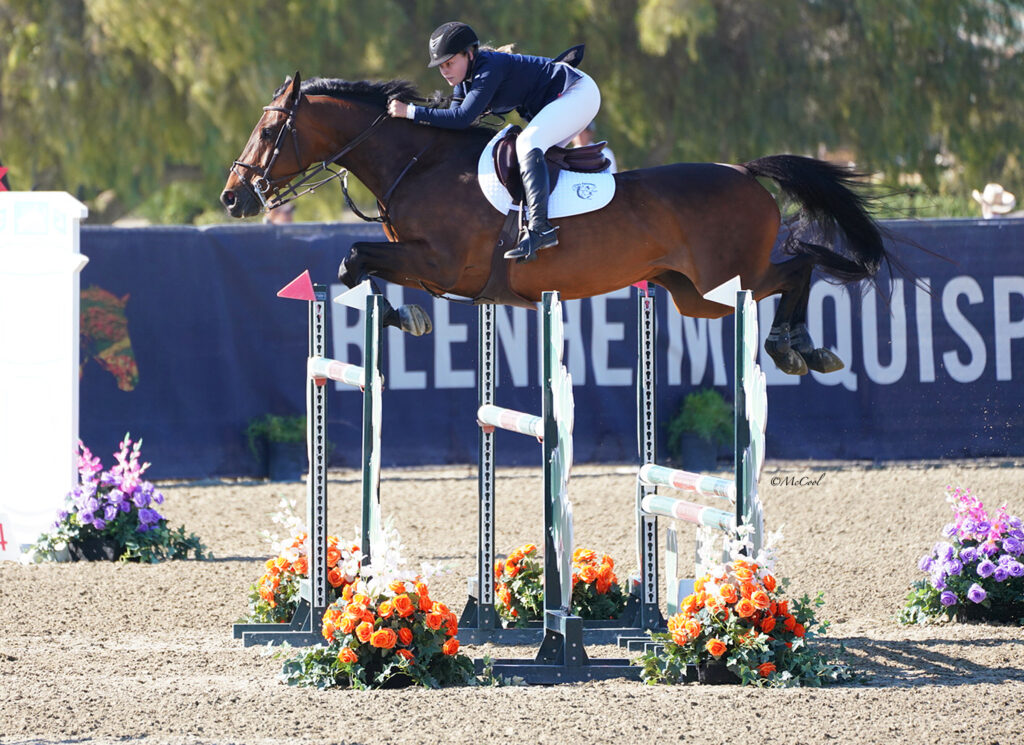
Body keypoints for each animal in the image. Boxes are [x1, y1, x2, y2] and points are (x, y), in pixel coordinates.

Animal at [222, 72, 897, 374]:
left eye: (269, 130)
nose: (233, 198)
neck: (418, 163)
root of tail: (743, 170)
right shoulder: (423, 264)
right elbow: (358, 267)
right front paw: (403, 315)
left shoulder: (440, 263)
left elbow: (353, 259)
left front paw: (402, 316)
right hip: (695, 296)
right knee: (793, 270)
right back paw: (800, 346)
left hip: (726, 281)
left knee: (800, 267)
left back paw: (795, 346)